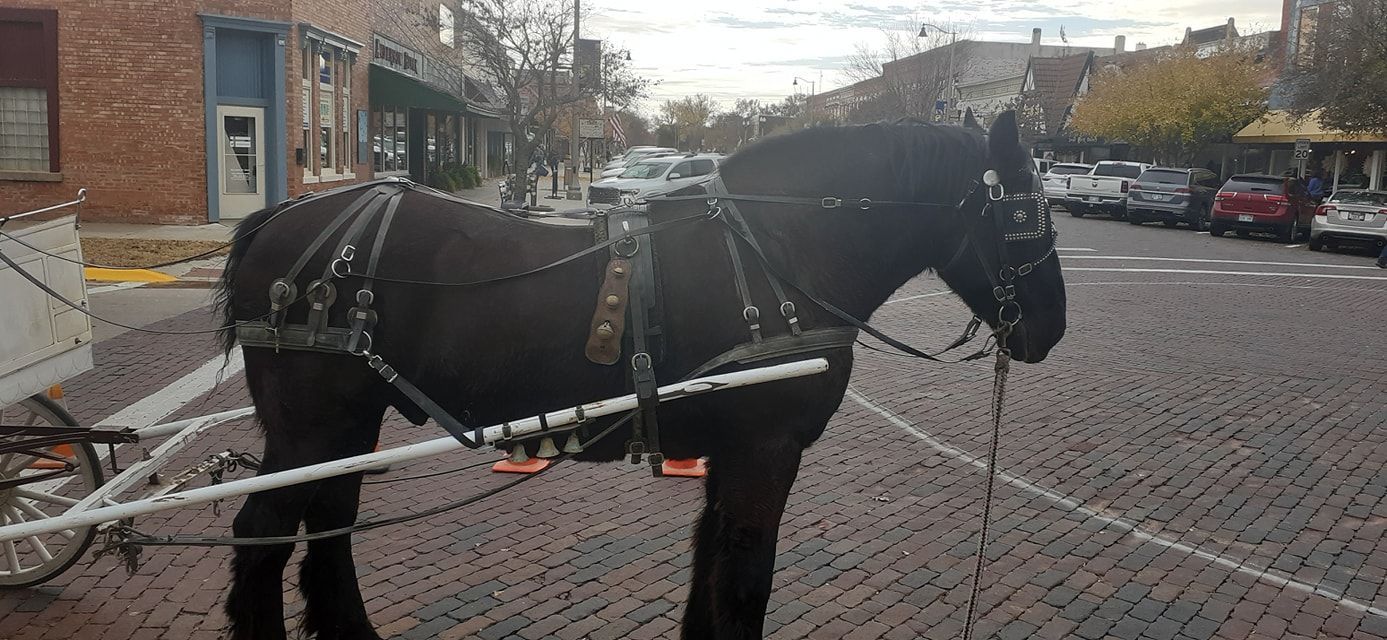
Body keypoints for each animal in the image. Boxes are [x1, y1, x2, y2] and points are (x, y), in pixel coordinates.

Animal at [215, 111, 1066, 640]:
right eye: (1023, 212)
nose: (1051, 329)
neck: (776, 251)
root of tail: (275, 219)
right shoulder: (764, 451)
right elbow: (744, 578)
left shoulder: (731, 453)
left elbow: (708, 569)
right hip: (310, 427)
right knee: (262, 535)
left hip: (348, 424)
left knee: (328, 525)